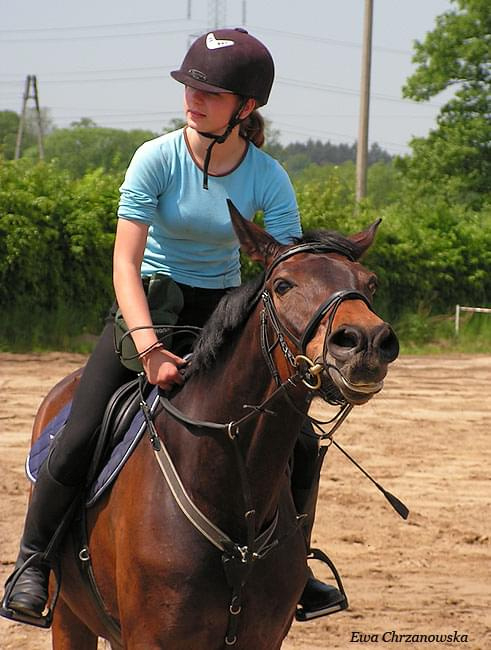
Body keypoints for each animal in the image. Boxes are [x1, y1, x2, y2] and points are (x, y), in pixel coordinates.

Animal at [27, 200, 400, 644]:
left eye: (370, 284)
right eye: (283, 286)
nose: (366, 342)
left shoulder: (263, 639)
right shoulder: (150, 638)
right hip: (70, 618)